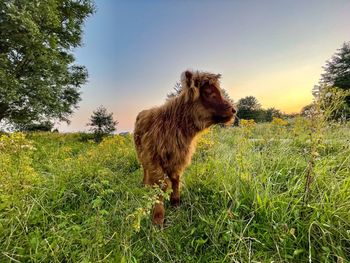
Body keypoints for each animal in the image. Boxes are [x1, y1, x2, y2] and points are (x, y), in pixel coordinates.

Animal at [134, 71, 235, 226]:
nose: (234, 110)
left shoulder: (179, 157)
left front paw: (175, 203)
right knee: (144, 169)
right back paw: (145, 184)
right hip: (141, 153)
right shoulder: (153, 159)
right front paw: (158, 218)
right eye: (208, 92)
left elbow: (175, 180)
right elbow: (160, 186)